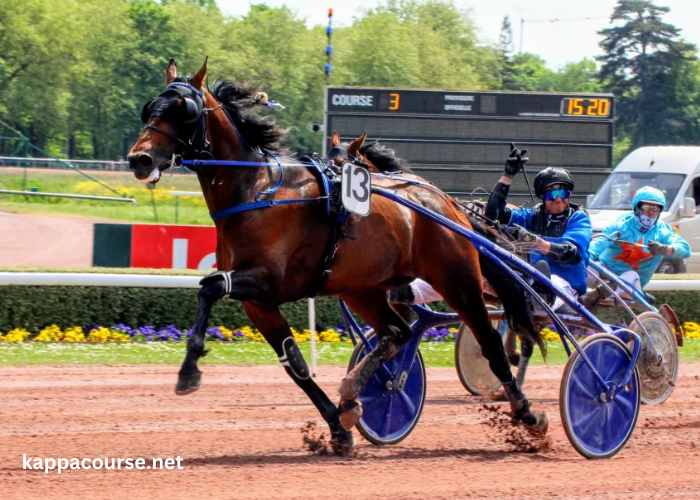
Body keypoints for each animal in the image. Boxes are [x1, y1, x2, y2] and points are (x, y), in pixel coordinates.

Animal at [126, 59, 548, 454]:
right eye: (149, 109)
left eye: (183, 109)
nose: (139, 160)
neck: (255, 191)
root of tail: (446, 203)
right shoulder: (259, 303)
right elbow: (294, 364)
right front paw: (338, 428)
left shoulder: (269, 281)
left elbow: (210, 286)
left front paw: (188, 371)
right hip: (361, 289)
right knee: (398, 331)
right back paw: (352, 392)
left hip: (457, 279)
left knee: (490, 345)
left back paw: (528, 415)